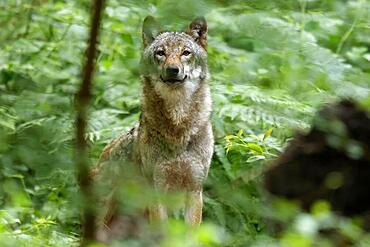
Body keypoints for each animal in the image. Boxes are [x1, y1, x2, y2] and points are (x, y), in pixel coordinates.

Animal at [90, 15, 214, 239]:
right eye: (160, 53)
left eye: (186, 53)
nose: (172, 70)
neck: (178, 127)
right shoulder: (156, 190)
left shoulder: (194, 190)